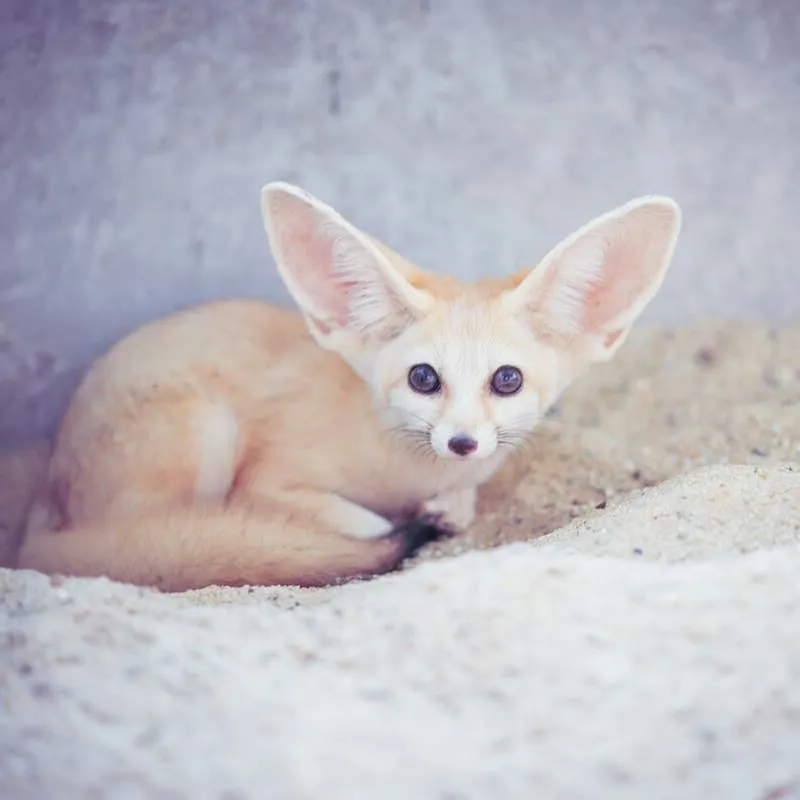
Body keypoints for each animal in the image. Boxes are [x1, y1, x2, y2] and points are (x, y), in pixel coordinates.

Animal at [15, 182, 681, 592]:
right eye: (423, 378)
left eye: (507, 380)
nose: (462, 443)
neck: (410, 470)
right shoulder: (267, 482)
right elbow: (360, 523)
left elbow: (457, 504)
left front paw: (450, 507)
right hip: (203, 431)